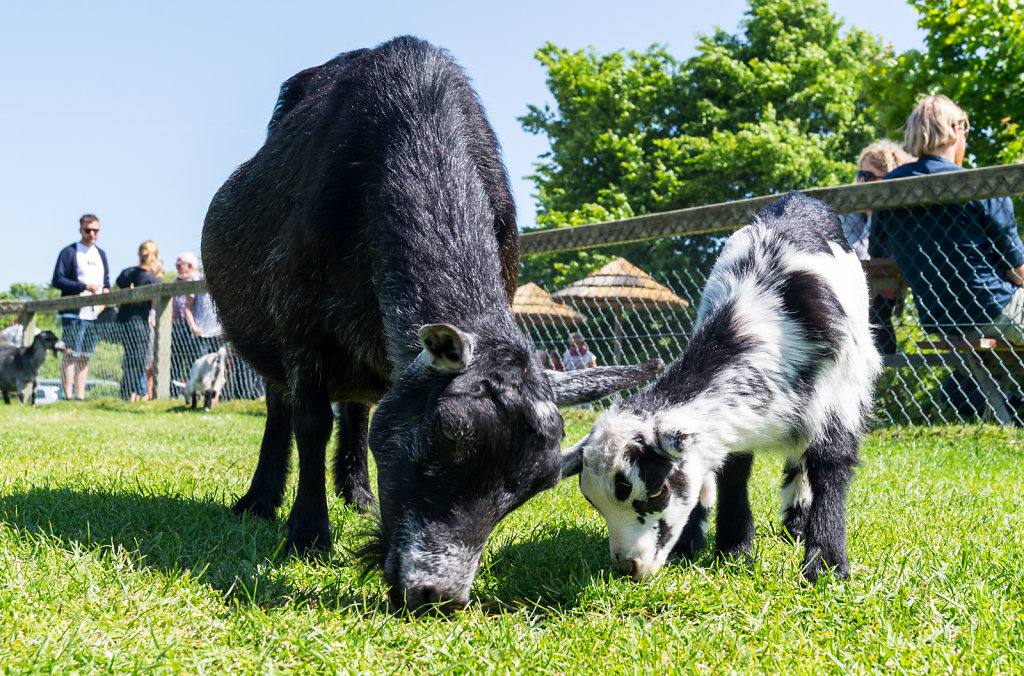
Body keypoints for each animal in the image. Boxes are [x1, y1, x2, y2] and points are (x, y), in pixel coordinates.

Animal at [201, 35, 663, 606]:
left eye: (534, 485)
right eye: (448, 433)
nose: (437, 594)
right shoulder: (298, 315)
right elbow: (311, 421)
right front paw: (307, 534)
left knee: (357, 406)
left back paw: (358, 492)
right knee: (281, 405)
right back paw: (261, 501)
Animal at [561, 192, 880, 581]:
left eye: (655, 491)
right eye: (592, 500)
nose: (628, 567)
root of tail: (799, 198)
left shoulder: (839, 394)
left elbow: (831, 465)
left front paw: (827, 565)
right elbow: (733, 471)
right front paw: (733, 550)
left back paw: (798, 525)